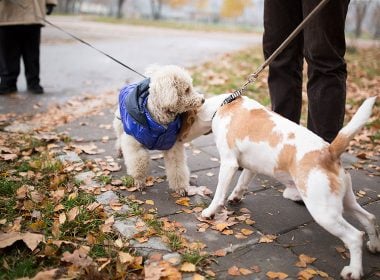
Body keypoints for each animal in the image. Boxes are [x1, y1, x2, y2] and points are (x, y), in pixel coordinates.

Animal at [183, 93, 378, 278]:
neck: (224, 105)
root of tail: (328, 151)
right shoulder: (251, 167)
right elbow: (242, 183)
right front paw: (235, 198)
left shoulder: (229, 163)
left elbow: (218, 195)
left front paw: (209, 212)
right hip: (346, 202)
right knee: (369, 218)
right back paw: (374, 246)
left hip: (324, 213)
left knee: (355, 236)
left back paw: (354, 271)